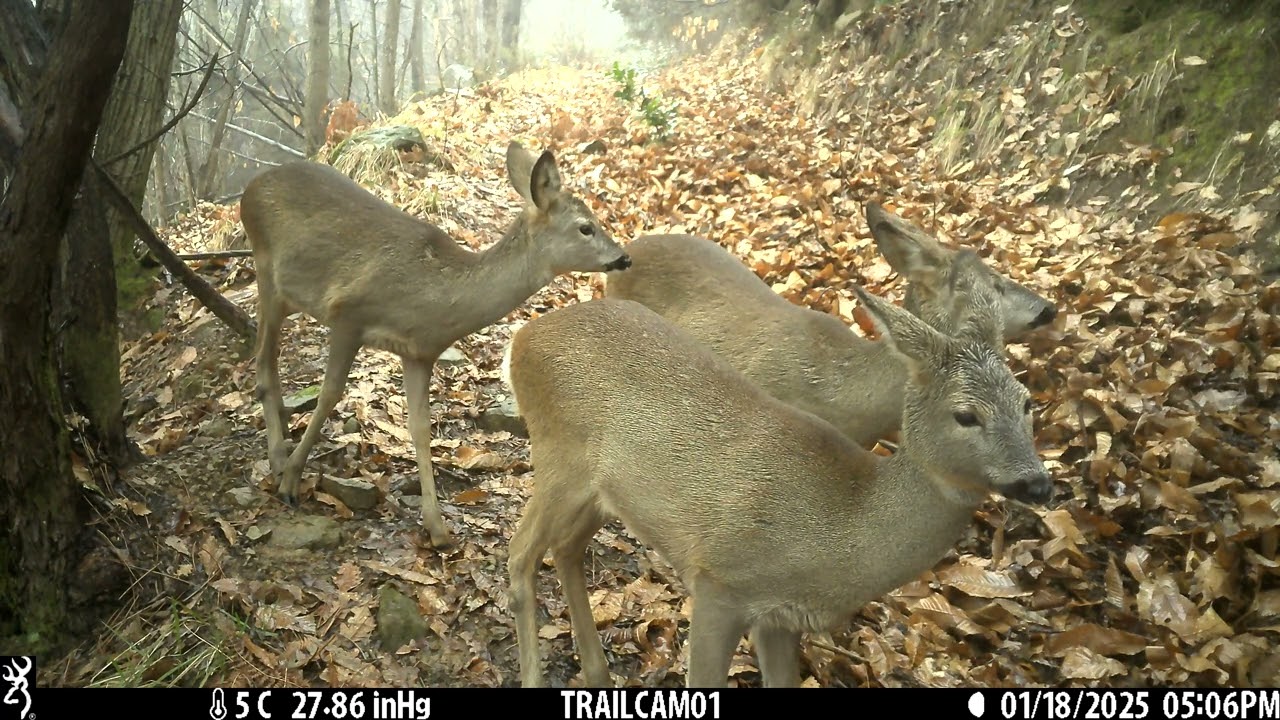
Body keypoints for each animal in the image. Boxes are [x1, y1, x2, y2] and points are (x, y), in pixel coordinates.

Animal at [240, 140, 631, 550]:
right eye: (586, 227)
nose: (623, 257)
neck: (433, 297)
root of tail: (252, 185)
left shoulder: (419, 352)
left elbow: (421, 428)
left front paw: (438, 529)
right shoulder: (348, 314)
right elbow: (330, 394)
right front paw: (291, 481)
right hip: (267, 271)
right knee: (263, 361)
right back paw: (279, 460)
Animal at [503, 269, 1052, 688]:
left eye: (1027, 403)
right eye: (966, 415)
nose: (1039, 484)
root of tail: (523, 336)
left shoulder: (781, 621)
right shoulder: (719, 579)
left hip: (604, 490)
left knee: (565, 548)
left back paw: (596, 672)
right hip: (558, 453)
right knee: (520, 552)